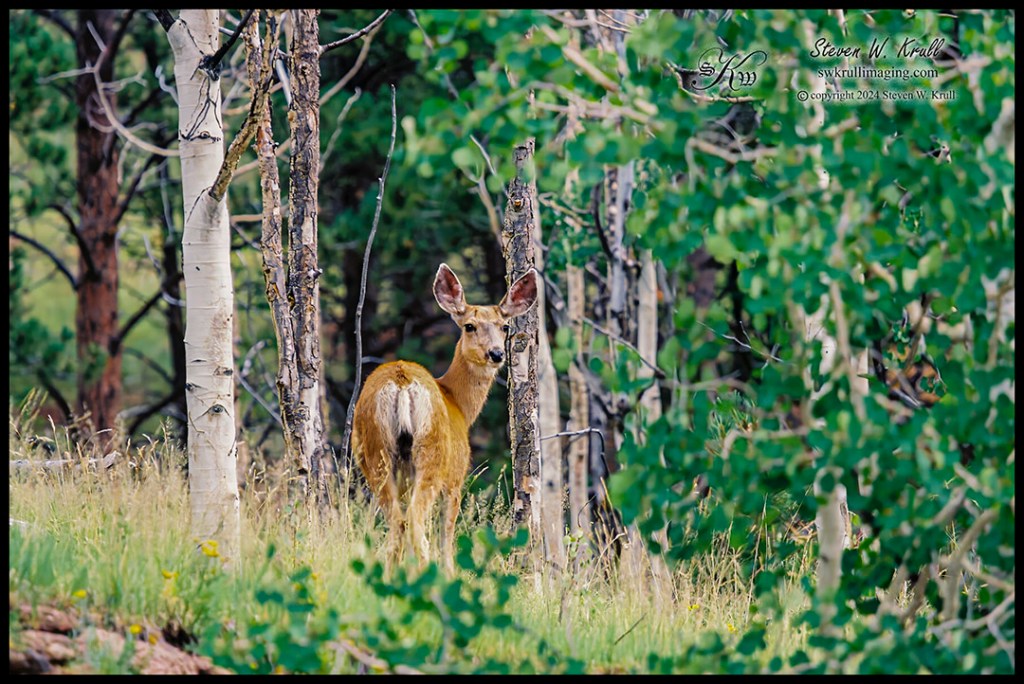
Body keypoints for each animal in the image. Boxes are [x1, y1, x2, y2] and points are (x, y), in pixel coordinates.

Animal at [352, 263, 538, 573]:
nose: (496, 353)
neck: (457, 402)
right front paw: (450, 573)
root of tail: (401, 382)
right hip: (432, 455)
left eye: (504, 326)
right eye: (469, 326)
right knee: (415, 521)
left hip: (376, 453)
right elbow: (447, 538)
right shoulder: (456, 478)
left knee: (397, 522)